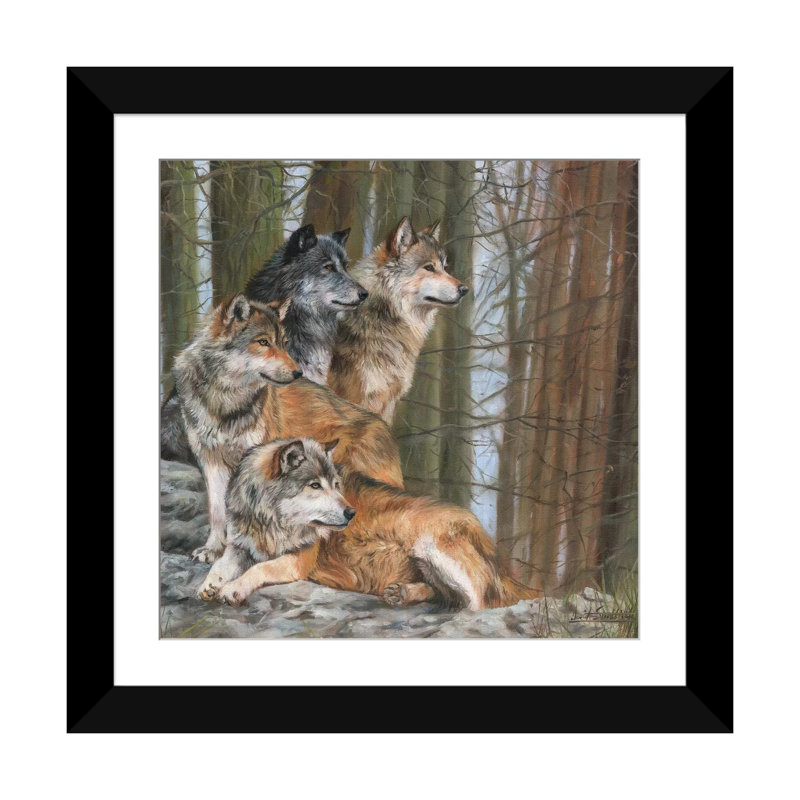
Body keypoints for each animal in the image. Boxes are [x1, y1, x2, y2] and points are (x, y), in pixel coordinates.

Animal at [172, 293, 303, 562]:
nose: (299, 373)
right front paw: (212, 549)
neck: (226, 402)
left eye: (283, 343)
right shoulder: (210, 461)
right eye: (263, 342)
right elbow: (217, 511)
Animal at [197, 437, 354, 601]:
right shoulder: (239, 547)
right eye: (315, 485)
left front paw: (233, 588)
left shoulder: (300, 558)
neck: (270, 524)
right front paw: (209, 584)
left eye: (336, 485)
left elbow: (261, 567)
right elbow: (220, 564)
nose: (351, 512)